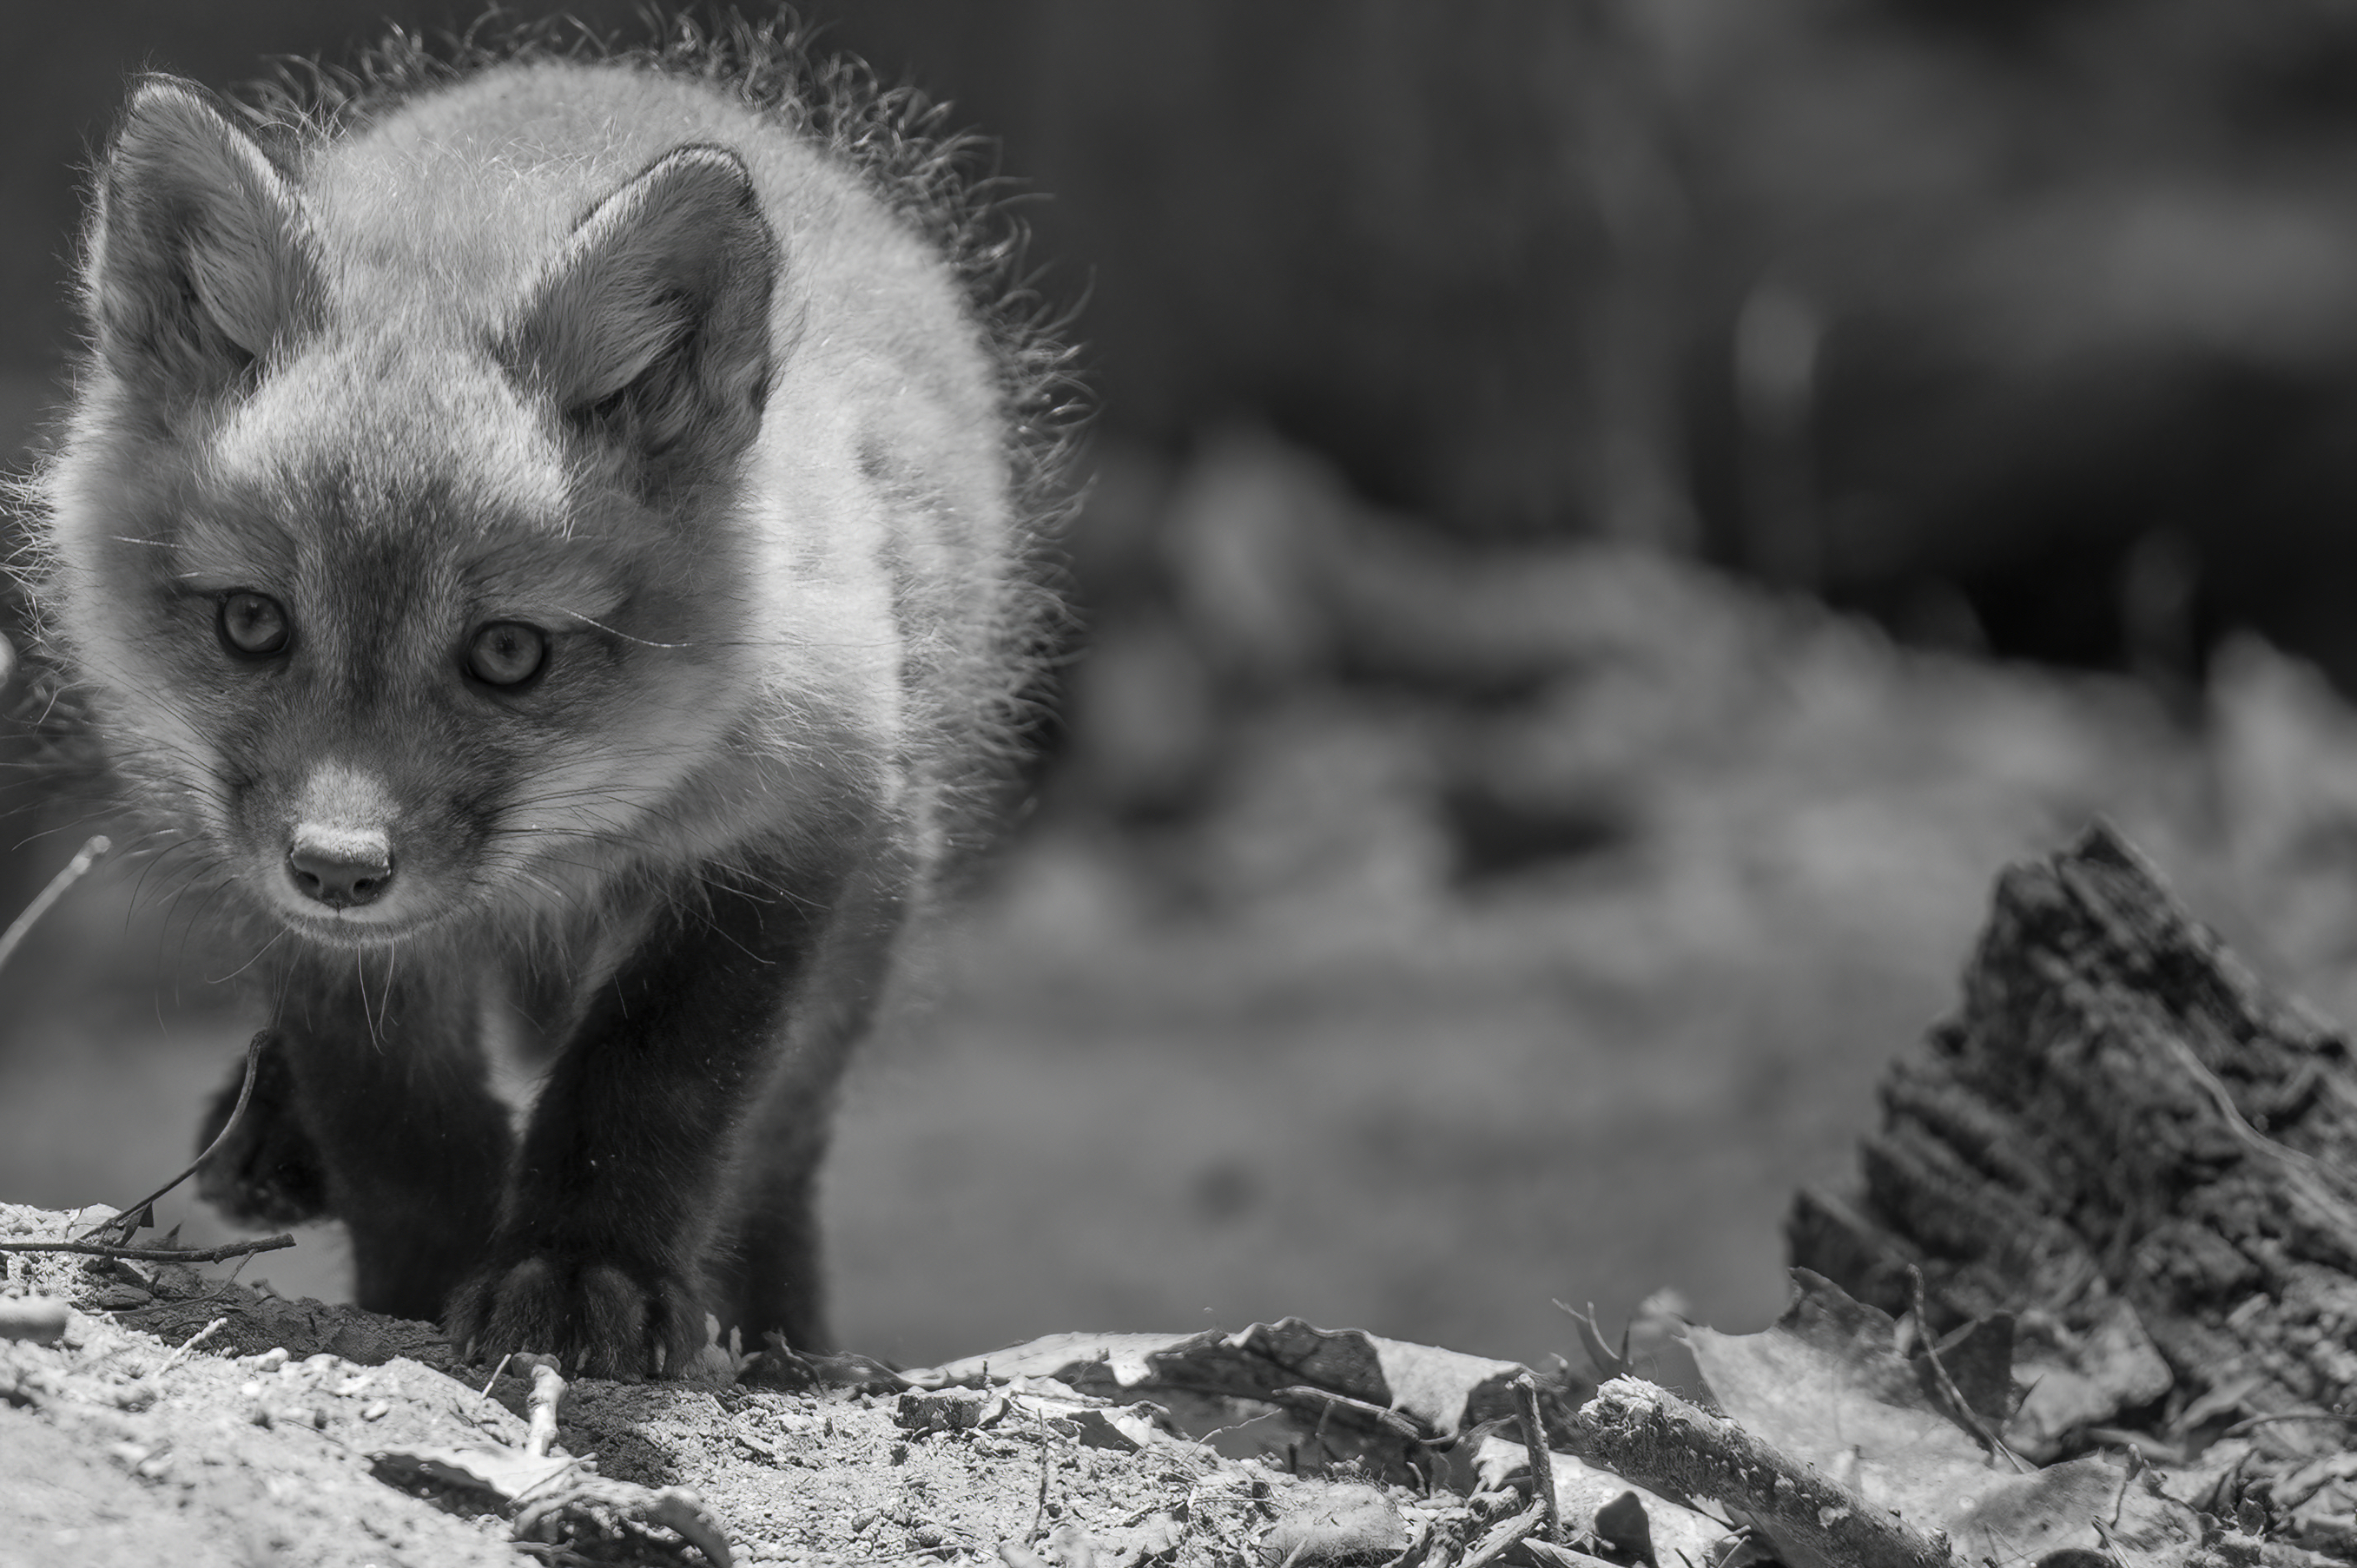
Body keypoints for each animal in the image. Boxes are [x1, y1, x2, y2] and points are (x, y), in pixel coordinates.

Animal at [14, 19, 1071, 1378]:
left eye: (508, 653)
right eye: (252, 623)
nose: (339, 867)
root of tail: (617, 68)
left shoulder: (783, 835)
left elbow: (650, 1086)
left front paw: (584, 1272)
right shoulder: (318, 932)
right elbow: (397, 1121)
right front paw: (417, 1293)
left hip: (872, 908)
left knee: (783, 1148)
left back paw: (786, 1335)